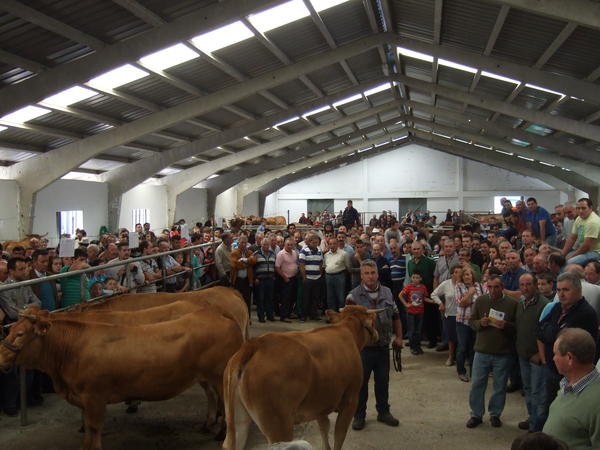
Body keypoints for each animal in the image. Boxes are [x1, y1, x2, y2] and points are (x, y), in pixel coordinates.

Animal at [0, 308, 244, 450]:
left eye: (20, 334)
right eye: (9, 330)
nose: (0, 357)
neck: (72, 348)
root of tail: (223, 316)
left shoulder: (94, 397)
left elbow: (94, 427)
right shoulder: (84, 399)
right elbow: (88, 428)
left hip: (219, 374)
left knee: (226, 402)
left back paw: (222, 433)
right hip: (205, 376)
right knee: (213, 397)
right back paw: (208, 425)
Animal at [220, 306, 380, 450]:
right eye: (373, 322)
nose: (377, 335)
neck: (347, 330)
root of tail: (255, 344)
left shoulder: (321, 405)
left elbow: (324, 429)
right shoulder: (350, 400)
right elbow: (339, 436)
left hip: (238, 421)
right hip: (279, 425)